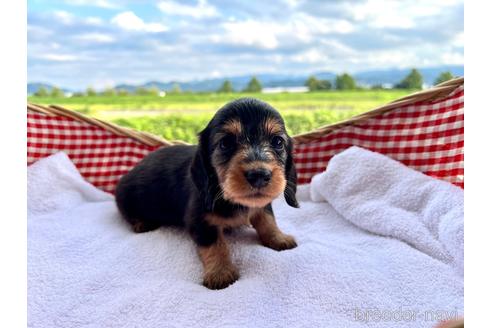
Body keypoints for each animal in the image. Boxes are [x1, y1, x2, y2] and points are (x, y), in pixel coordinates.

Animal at [115, 98, 300, 290]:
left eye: (277, 142)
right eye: (226, 143)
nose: (259, 175)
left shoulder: (262, 206)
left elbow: (268, 220)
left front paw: (278, 238)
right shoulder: (200, 221)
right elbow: (215, 245)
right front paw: (220, 273)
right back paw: (142, 223)